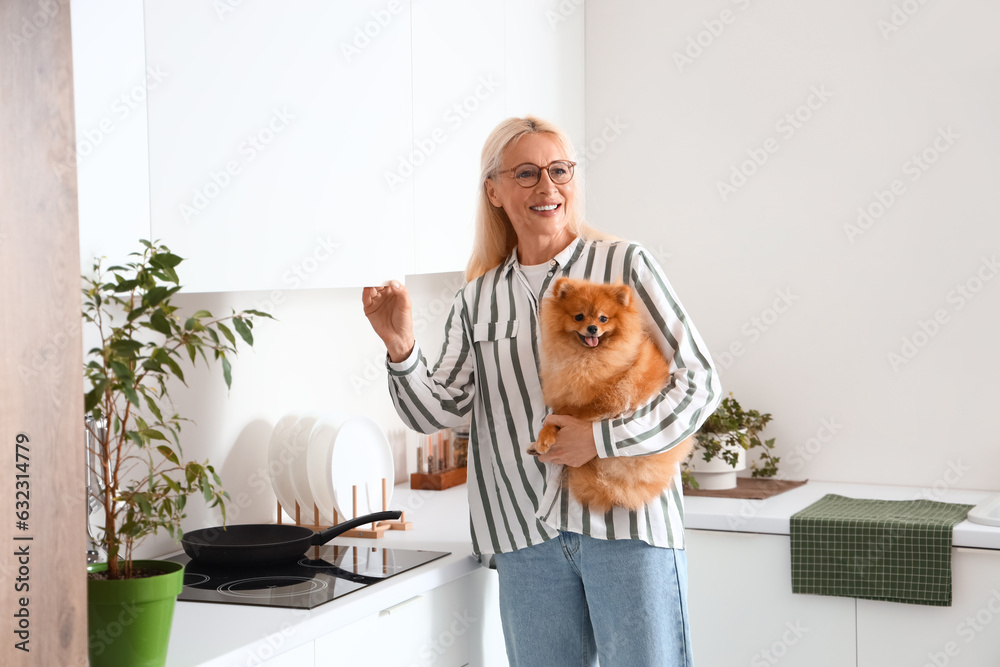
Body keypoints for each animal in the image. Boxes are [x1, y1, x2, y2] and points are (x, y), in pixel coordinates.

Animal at [528, 276, 692, 512]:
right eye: (579, 316)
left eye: (603, 318)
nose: (593, 328)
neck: (585, 358)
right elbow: (556, 414)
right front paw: (542, 438)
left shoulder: (607, 400)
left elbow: (568, 413)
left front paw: (546, 436)